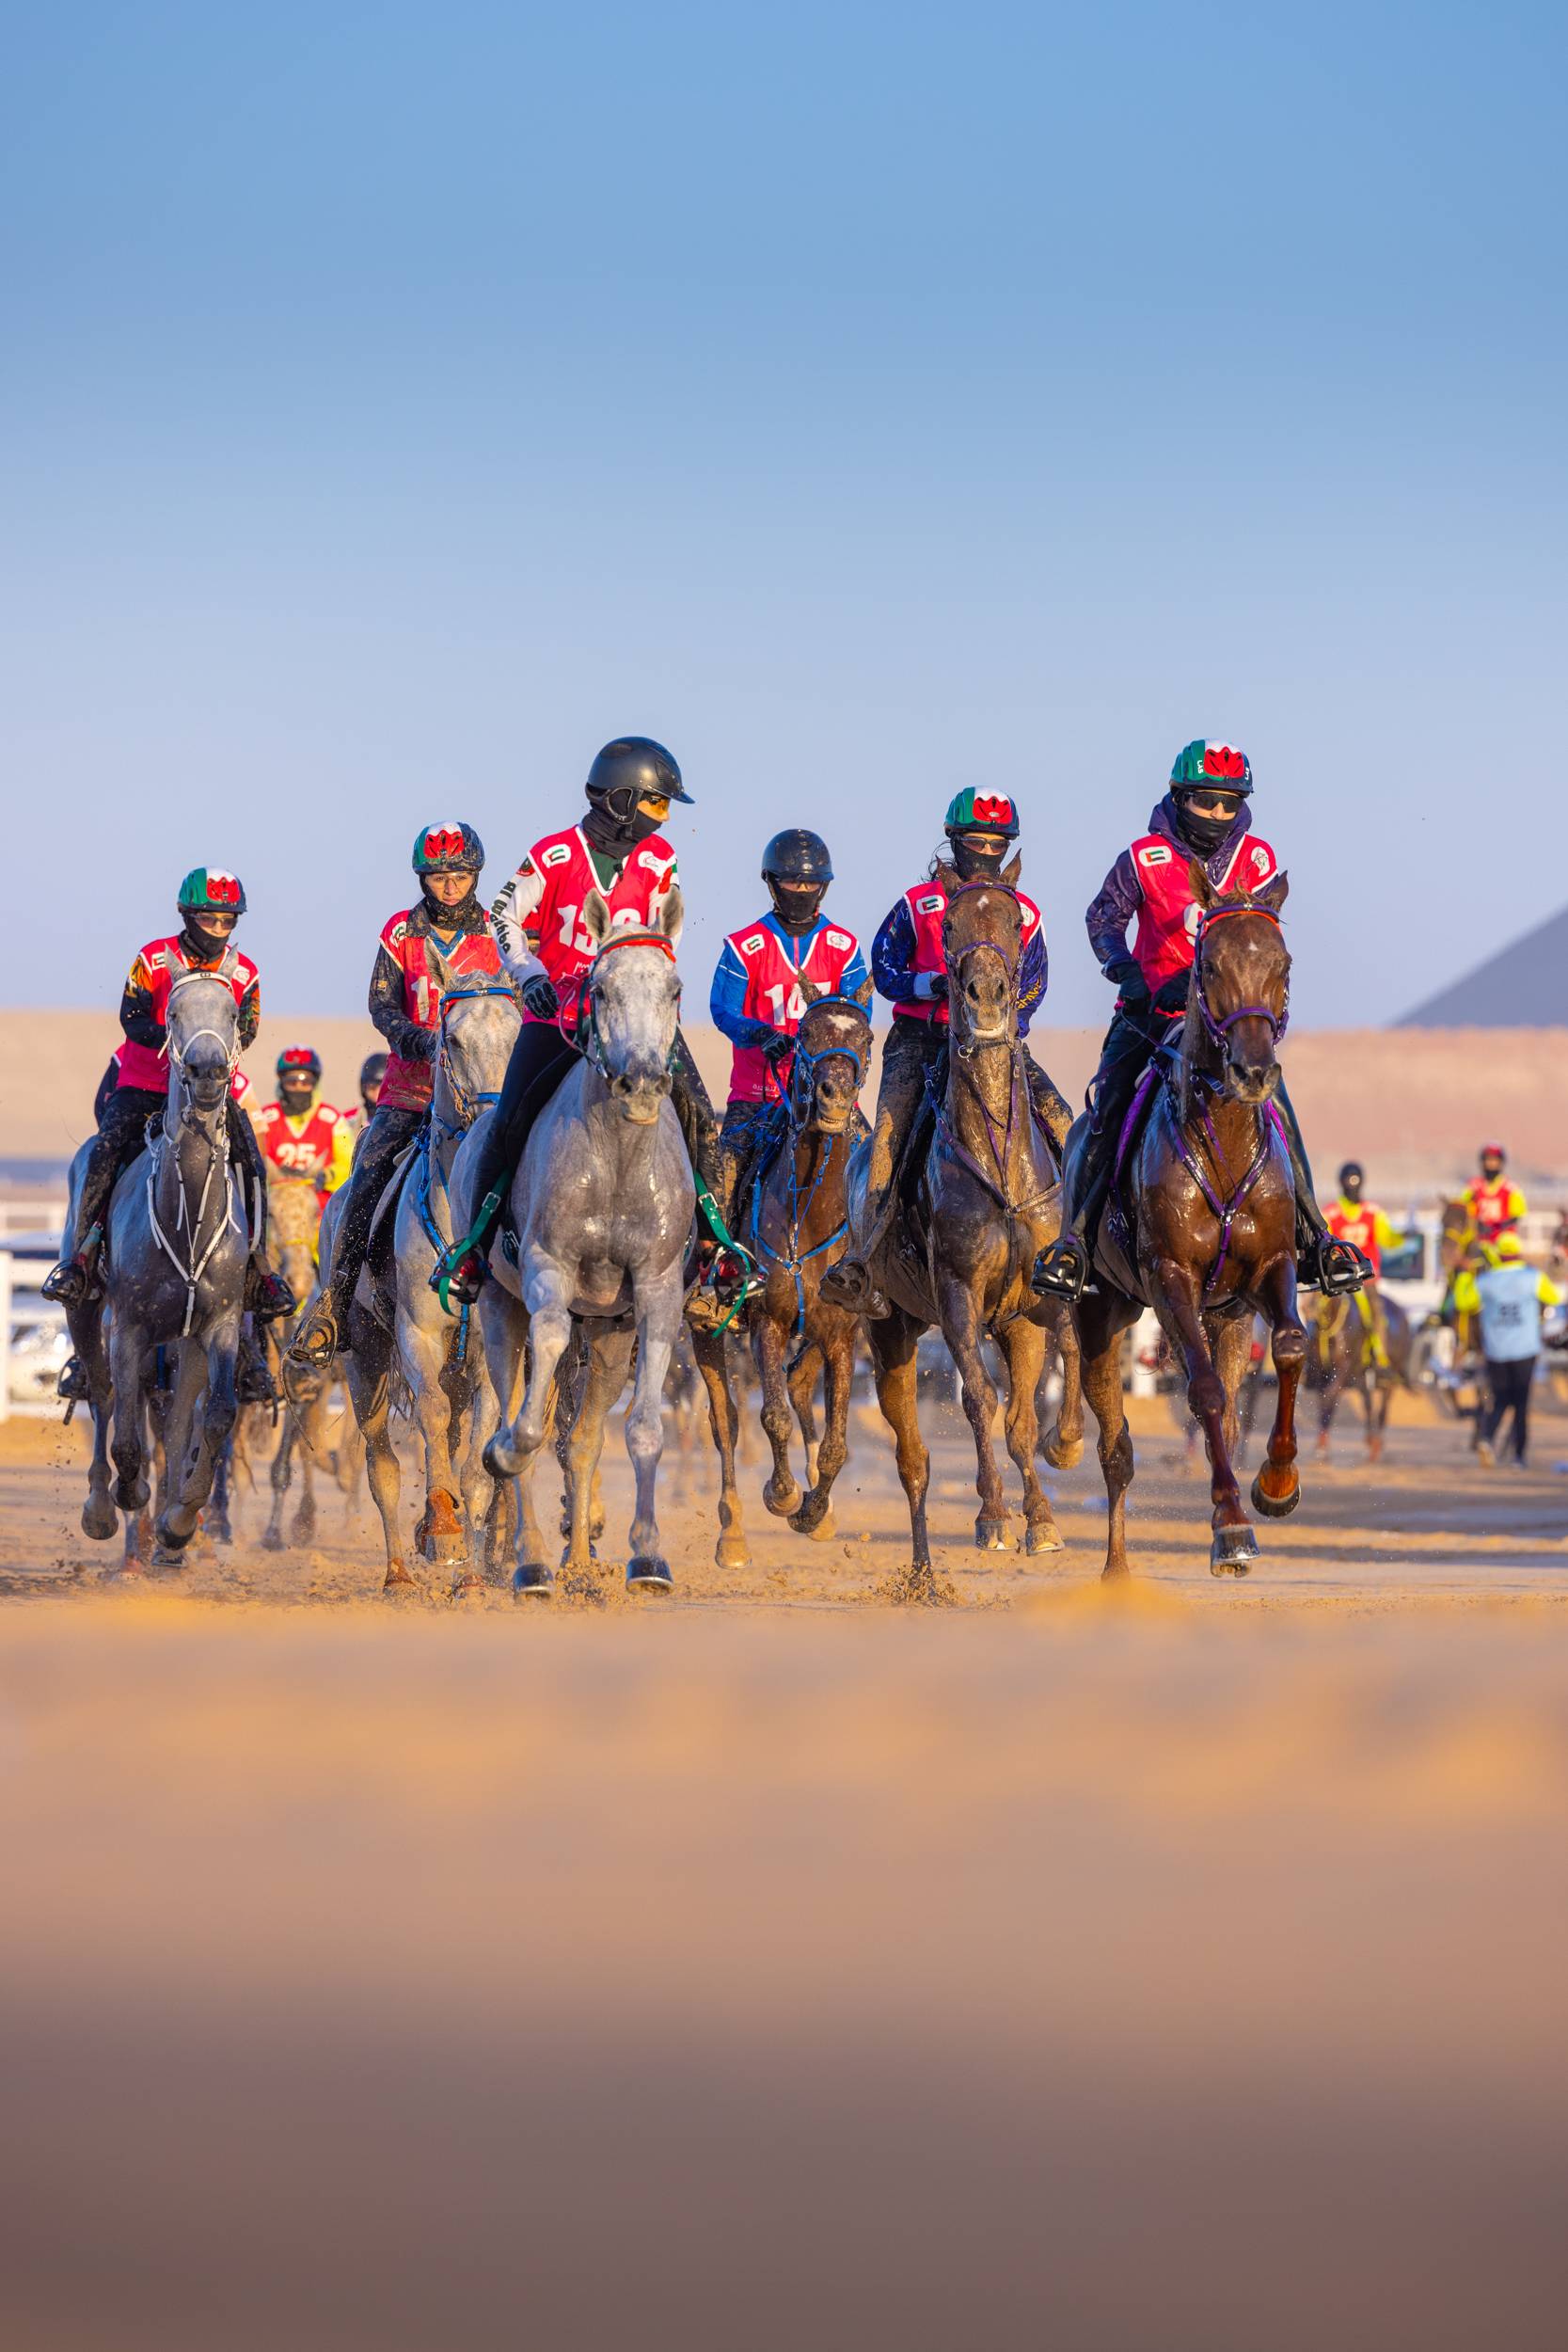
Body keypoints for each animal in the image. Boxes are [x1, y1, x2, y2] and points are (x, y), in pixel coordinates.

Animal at [455, 894, 695, 1599]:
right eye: (601, 988)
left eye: (673, 989)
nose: (640, 1082)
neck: (616, 1160)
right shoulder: (547, 1275)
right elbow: (526, 1428)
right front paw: (505, 1453)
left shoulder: (656, 1292)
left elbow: (642, 1430)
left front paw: (647, 1556)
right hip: (497, 1312)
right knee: (513, 1408)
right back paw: (531, 1561)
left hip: (612, 1335)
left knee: (584, 1442)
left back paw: (580, 1562)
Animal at [695, 988, 879, 1562]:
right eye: (805, 1035)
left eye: (865, 1037)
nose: (834, 1098)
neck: (810, 1211)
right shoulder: (767, 1324)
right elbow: (770, 1416)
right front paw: (782, 1495)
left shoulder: (841, 1335)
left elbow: (837, 1444)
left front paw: (815, 1510)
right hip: (706, 1334)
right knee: (725, 1422)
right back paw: (732, 1532)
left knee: (799, 1387)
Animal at [1067, 866, 1316, 1581]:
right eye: (1207, 965)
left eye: (1283, 963)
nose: (1253, 1070)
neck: (1223, 1143)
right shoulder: (1169, 1278)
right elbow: (1201, 1392)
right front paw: (1231, 1526)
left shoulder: (1272, 1268)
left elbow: (1289, 1349)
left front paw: (1276, 1485)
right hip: (1102, 1317)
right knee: (1116, 1448)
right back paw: (1118, 1568)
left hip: (1225, 1316)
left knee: (1227, 1415)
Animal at [1307, 1279, 1419, 1458]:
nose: (1309, 1307)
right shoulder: (1320, 1370)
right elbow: (1322, 1400)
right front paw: (1321, 1443)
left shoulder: (1343, 1368)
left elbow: (1330, 1397)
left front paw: (1322, 1447)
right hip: (1360, 1374)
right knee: (1368, 1404)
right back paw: (1371, 1440)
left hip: (1391, 1373)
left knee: (1383, 1409)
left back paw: (1377, 1445)